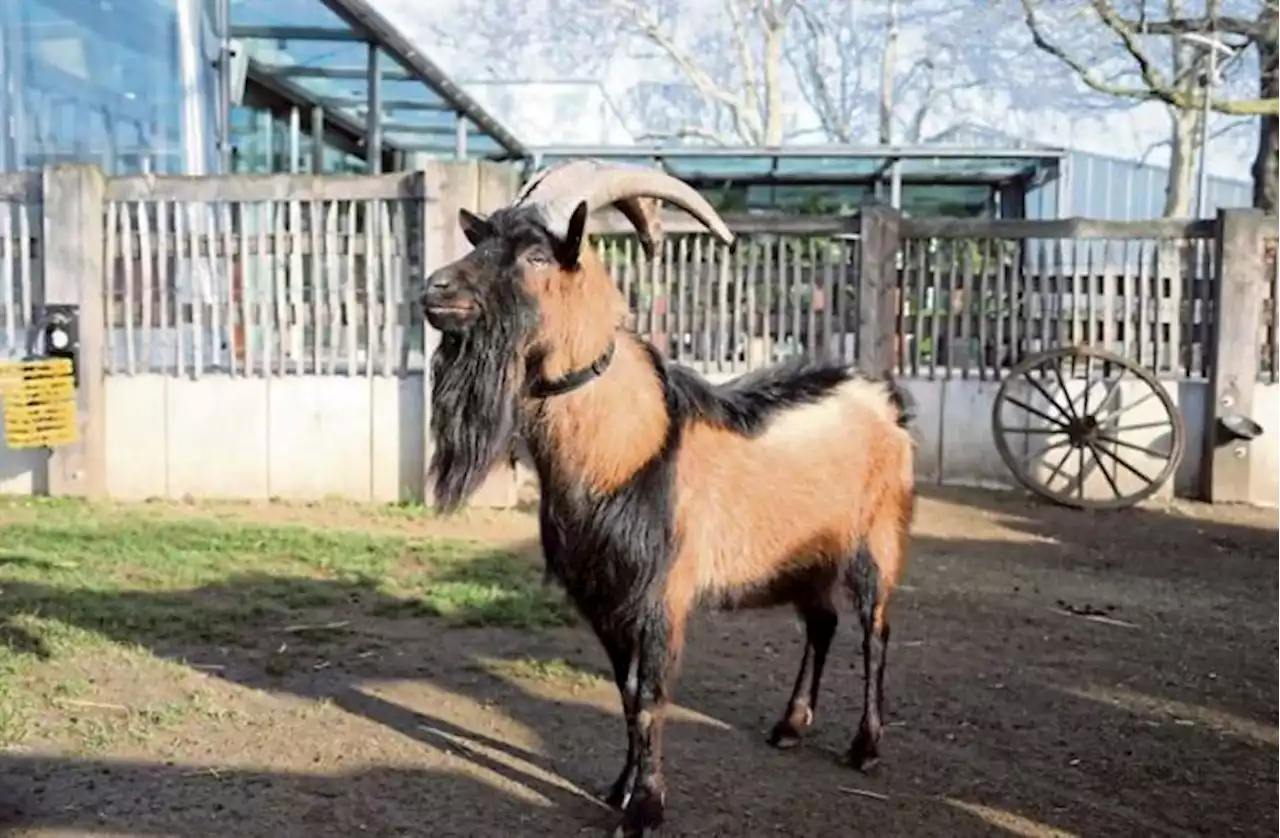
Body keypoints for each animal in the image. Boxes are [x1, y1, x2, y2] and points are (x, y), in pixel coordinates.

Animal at [424, 162, 916, 838]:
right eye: (482, 240)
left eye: (534, 254)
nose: (434, 289)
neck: (631, 446)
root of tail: (882, 397)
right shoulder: (606, 597)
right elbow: (626, 694)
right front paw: (620, 788)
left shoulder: (660, 595)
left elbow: (651, 696)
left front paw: (646, 809)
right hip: (806, 556)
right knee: (822, 624)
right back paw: (790, 726)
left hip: (877, 537)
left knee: (875, 631)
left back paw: (865, 747)